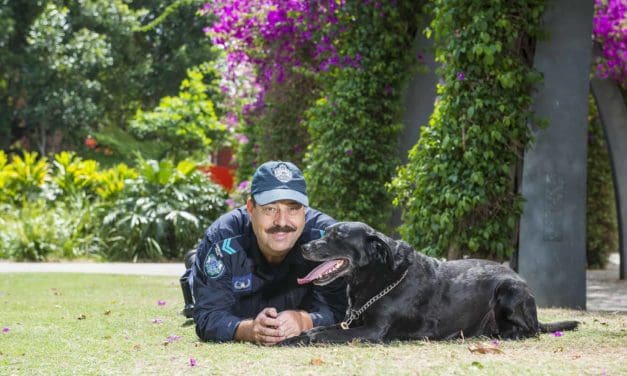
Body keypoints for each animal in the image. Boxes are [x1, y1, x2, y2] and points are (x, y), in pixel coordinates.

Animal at [284, 222, 580, 346]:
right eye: (325, 232)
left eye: (338, 236)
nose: (304, 247)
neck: (379, 278)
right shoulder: (352, 323)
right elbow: (316, 329)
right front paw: (290, 338)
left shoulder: (371, 331)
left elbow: (320, 335)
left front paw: (300, 340)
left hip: (508, 291)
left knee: (530, 331)